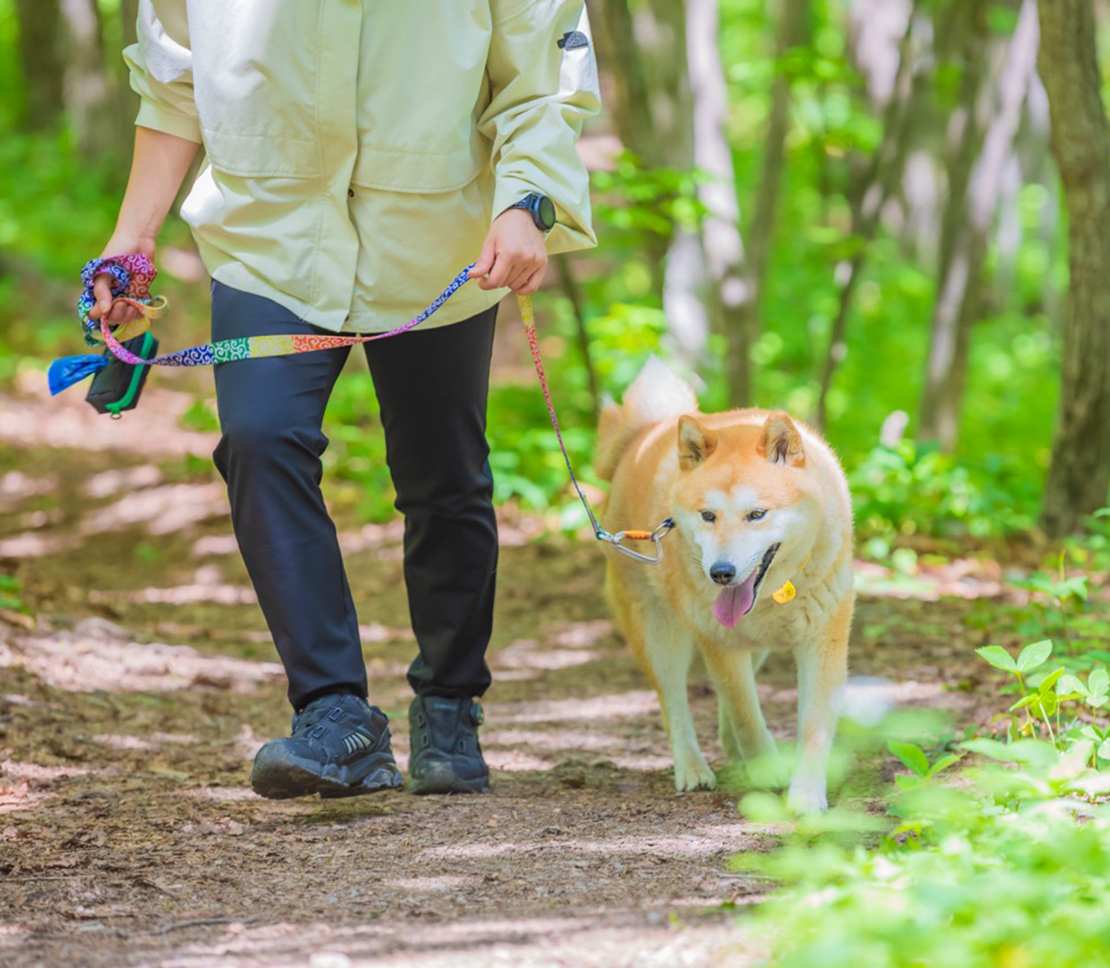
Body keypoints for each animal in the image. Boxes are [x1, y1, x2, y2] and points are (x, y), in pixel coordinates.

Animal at [599, 355, 848, 808]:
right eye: (708, 516)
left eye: (757, 514)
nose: (721, 573)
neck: (778, 593)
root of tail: (645, 433)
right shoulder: (719, 642)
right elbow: (745, 711)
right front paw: (767, 768)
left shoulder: (824, 639)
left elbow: (814, 726)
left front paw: (806, 796)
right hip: (660, 634)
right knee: (675, 704)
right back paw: (693, 768)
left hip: (756, 645)